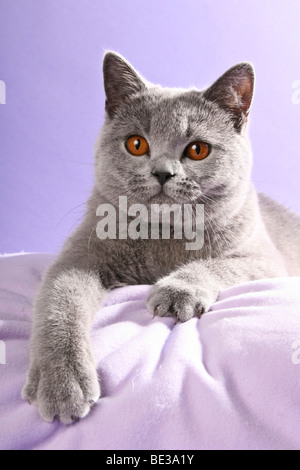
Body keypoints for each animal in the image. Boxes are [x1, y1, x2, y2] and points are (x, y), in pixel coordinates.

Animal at [22, 50, 300, 422]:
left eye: (198, 150)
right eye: (136, 144)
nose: (163, 172)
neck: (164, 233)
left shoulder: (264, 260)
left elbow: (215, 265)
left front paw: (176, 292)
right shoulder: (79, 257)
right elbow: (59, 303)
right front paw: (62, 385)